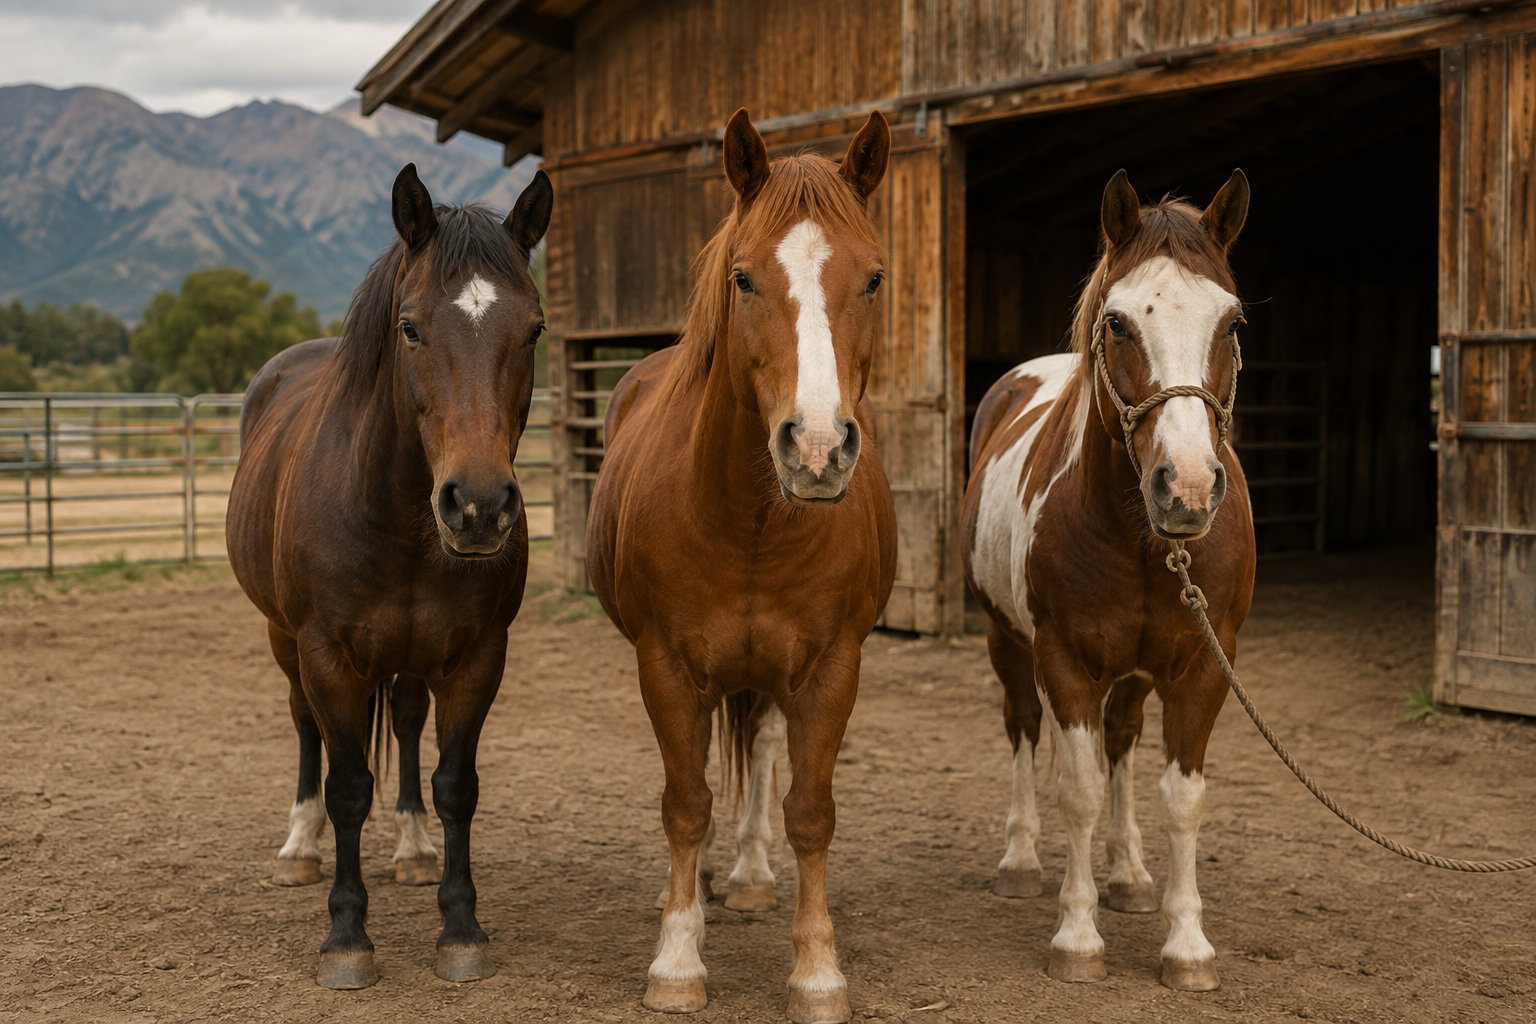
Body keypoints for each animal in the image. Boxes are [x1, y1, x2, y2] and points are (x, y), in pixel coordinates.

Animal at [227, 163, 553, 989]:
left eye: (534, 329)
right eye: (410, 326)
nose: (477, 507)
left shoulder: (476, 657)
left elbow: (456, 787)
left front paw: (461, 928)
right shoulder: (326, 656)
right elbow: (346, 787)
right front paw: (346, 937)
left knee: (405, 724)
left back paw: (410, 847)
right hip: (282, 639)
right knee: (304, 728)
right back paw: (300, 845)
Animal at [586, 108, 897, 1024]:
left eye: (873, 278)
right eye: (744, 278)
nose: (817, 447)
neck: (752, 524)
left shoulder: (831, 668)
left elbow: (811, 812)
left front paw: (818, 971)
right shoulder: (666, 667)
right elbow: (686, 806)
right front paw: (676, 958)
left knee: (760, 748)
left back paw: (755, 875)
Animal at [961, 169, 1256, 991]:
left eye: (1232, 321)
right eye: (1119, 322)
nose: (1187, 488)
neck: (1143, 541)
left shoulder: (1203, 664)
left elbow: (1181, 797)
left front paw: (1186, 945)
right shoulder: (1064, 659)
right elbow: (1080, 789)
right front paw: (1077, 935)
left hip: (1135, 671)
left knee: (1123, 740)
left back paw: (1129, 875)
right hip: (1006, 639)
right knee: (1024, 727)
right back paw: (1022, 862)